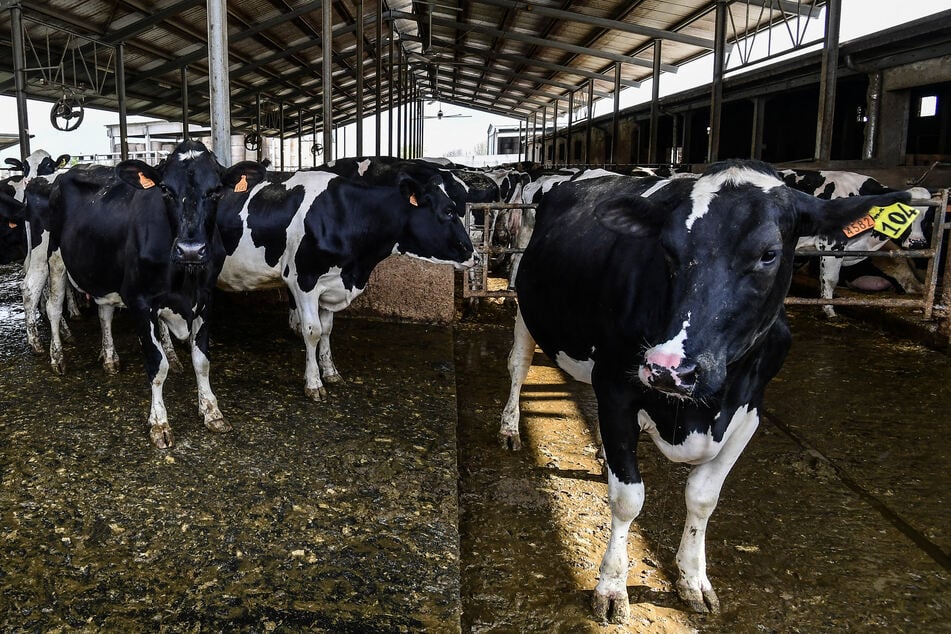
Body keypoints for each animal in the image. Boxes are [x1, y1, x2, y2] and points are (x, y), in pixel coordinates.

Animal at [44, 140, 266, 448]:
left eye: (216, 191)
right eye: (166, 190)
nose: (191, 250)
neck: (185, 280)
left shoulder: (207, 298)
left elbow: (202, 360)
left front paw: (211, 410)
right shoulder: (140, 301)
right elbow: (157, 365)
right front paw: (159, 423)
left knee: (104, 312)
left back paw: (110, 358)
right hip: (53, 255)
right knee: (53, 307)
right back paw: (57, 358)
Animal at [215, 168, 476, 401]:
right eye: (448, 212)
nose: (474, 255)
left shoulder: (331, 284)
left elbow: (327, 329)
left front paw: (330, 372)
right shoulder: (303, 280)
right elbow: (312, 331)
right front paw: (314, 383)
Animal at [498, 160, 909, 623]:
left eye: (769, 253)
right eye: (668, 249)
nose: (668, 368)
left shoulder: (749, 411)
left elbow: (702, 498)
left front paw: (693, 579)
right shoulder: (619, 389)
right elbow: (628, 499)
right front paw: (611, 586)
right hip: (525, 307)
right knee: (519, 364)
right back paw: (511, 428)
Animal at [782, 168, 932, 317]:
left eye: (927, 218)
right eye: (901, 214)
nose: (917, 243)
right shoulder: (832, 244)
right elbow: (830, 280)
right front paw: (829, 311)